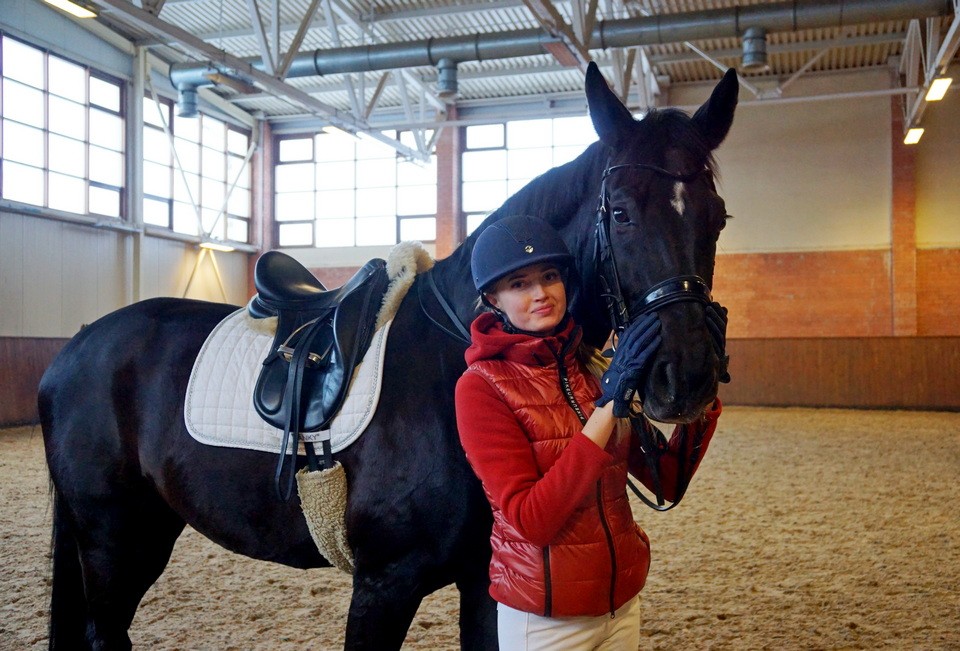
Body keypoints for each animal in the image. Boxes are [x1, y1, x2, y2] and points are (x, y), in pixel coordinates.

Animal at [39, 62, 736, 651]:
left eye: (719, 217)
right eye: (619, 213)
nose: (687, 376)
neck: (455, 360)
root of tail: (76, 347)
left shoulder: (484, 580)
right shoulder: (384, 584)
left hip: (148, 527)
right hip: (110, 537)